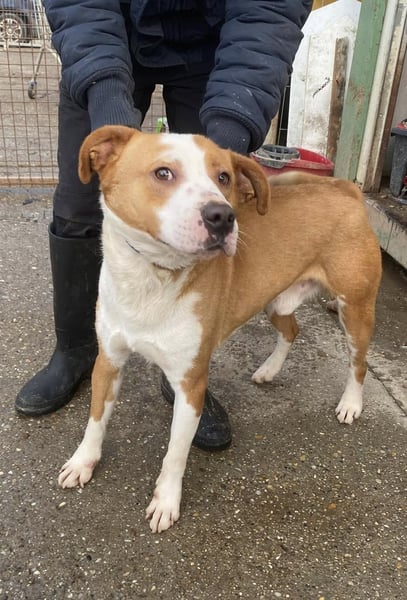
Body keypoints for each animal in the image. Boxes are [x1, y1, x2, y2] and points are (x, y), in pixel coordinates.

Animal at [58, 125, 382, 533]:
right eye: (163, 172)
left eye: (223, 177)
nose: (223, 216)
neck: (152, 279)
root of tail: (347, 190)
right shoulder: (108, 361)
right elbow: (96, 420)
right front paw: (83, 461)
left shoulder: (191, 385)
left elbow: (175, 454)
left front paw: (166, 501)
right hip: (273, 299)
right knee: (291, 329)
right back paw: (269, 370)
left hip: (354, 309)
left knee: (358, 362)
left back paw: (351, 404)